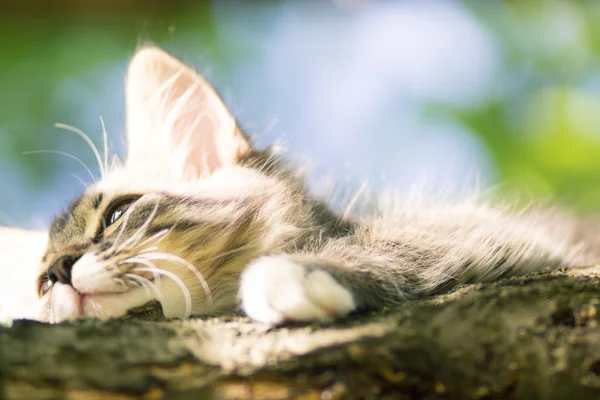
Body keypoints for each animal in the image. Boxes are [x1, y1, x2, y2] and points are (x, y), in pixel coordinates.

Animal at [34, 47, 600, 324]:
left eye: (115, 214)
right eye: (41, 277)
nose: (60, 270)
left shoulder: (493, 229)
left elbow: (392, 245)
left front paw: (293, 273)